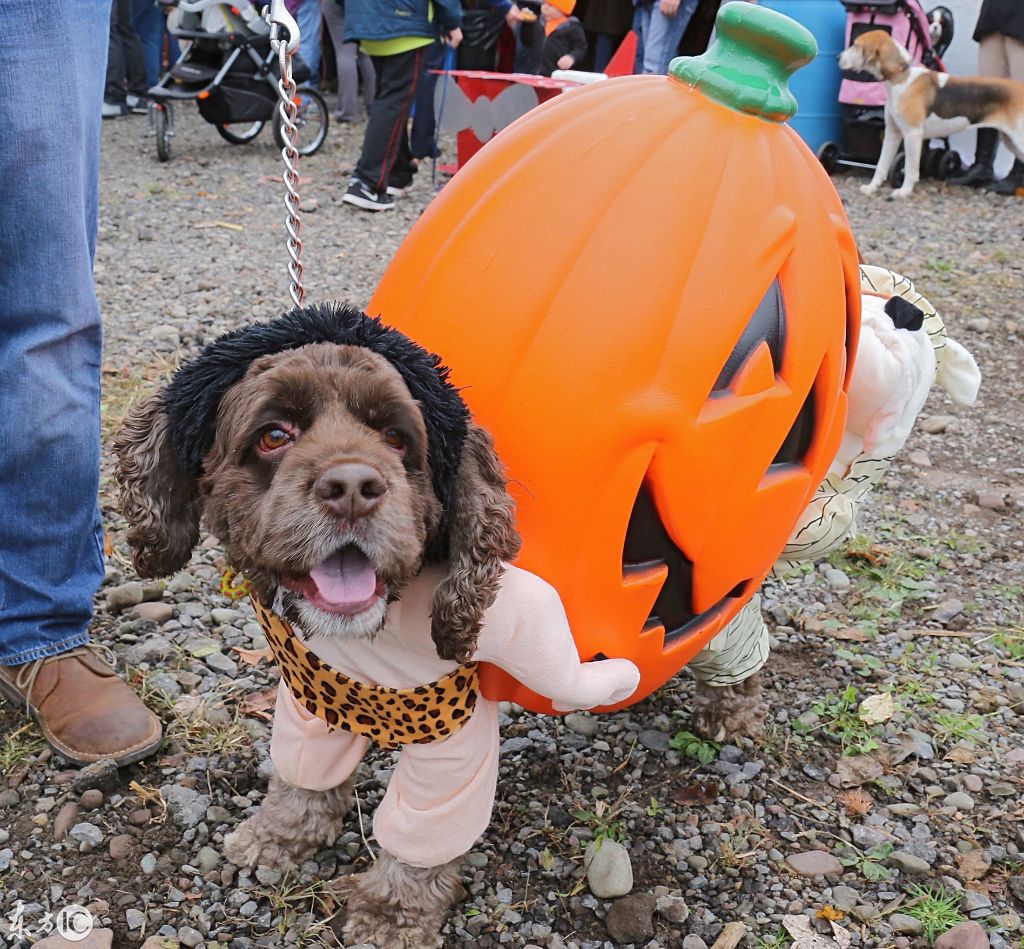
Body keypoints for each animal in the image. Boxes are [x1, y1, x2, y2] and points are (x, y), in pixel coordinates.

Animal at [839, 28, 1024, 197]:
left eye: (855, 45)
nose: (837, 58)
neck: (901, 75)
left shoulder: (912, 135)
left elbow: (910, 168)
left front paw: (904, 191)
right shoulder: (892, 134)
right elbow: (881, 165)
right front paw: (872, 188)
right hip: (1011, 142)